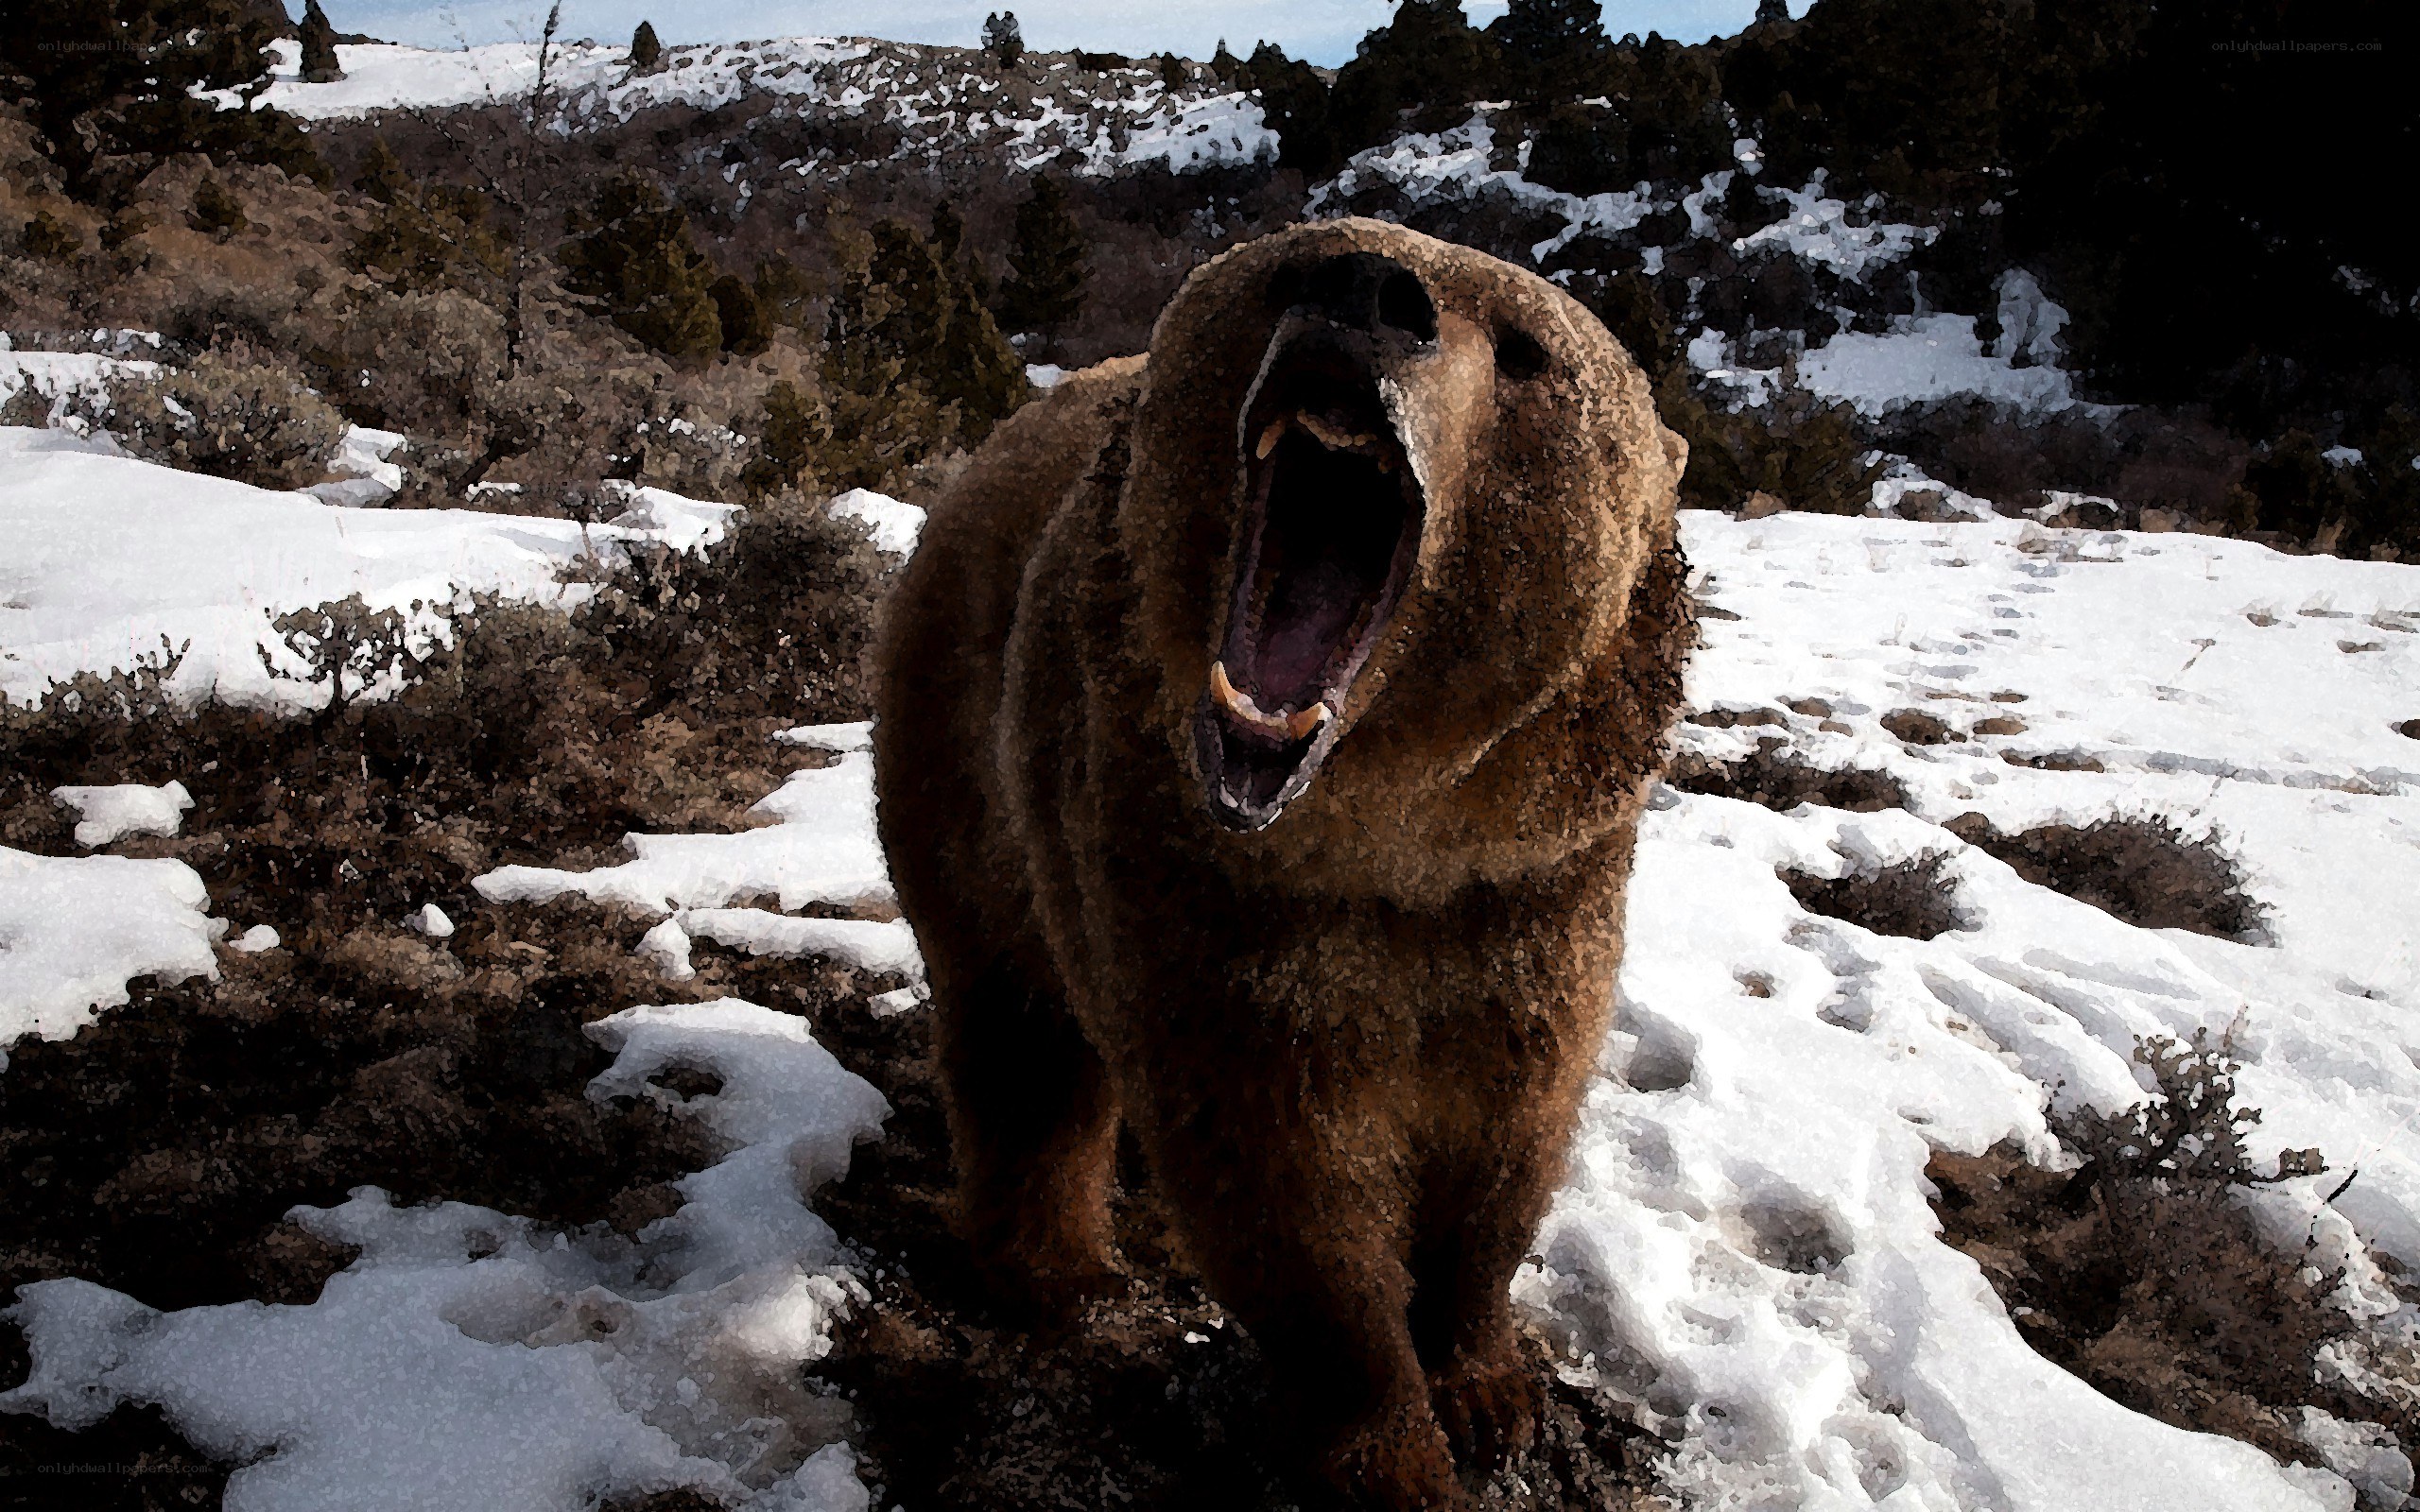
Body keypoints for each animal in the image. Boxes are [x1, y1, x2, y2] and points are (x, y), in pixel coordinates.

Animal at [871, 218, 1692, 1508]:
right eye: (1294, 262)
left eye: (1528, 350)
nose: (1368, 292)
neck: (1386, 836)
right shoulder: (1209, 893)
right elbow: (1285, 1181)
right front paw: (1389, 1446)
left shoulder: (1532, 893)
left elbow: (1507, 1142)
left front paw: (1488, 1384)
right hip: (967, 743)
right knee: (1018, 1024)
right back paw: (1055, 1268)